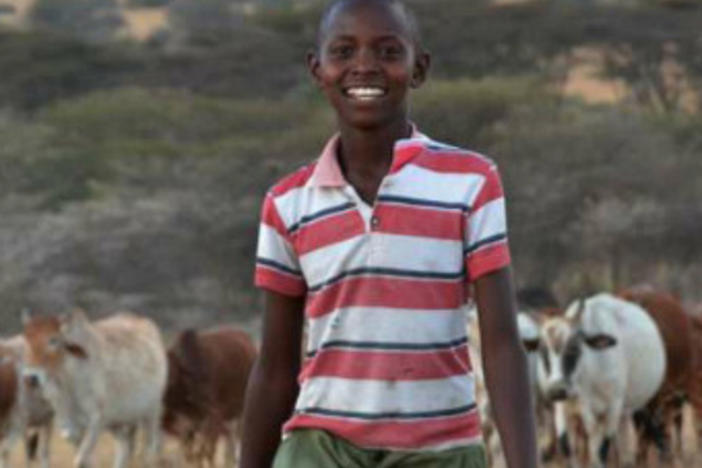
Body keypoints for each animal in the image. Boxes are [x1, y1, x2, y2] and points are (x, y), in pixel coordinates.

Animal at [22, 308, 168, 468]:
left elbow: (80, 460)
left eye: (53, 340)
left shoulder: (96, 423)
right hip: (116, 421)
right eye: (26, 339)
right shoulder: (71, 430)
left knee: (150, 449)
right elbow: (86, 461)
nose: (31, 378)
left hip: (151, 413)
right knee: (125, 446)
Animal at [164, 328, 258, 466]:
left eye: (171, 369)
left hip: (240, 413)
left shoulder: (214, 416)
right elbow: (193, 455)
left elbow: (206, 452)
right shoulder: (187, 425)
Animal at [540, 294, 668, 466]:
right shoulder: (563, 409)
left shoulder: (613, 408)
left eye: (573, 349)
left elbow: (601, 451)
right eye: (543, 352)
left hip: (641, 405)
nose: (556, 390)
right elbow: (567, 448)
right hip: (622, 414)